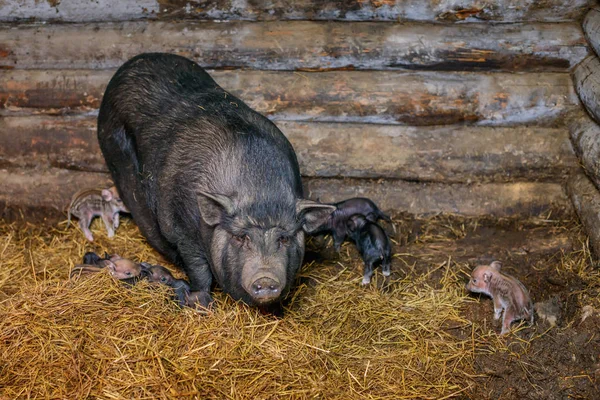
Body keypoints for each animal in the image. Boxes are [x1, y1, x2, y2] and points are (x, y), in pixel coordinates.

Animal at [96, 53, 336, 310]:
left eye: (284, 238)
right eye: (241, 237)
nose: (265, 278)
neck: (259, 190)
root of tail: (134, 61)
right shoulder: (181, 230)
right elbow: (198, 268)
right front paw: (199, 301)